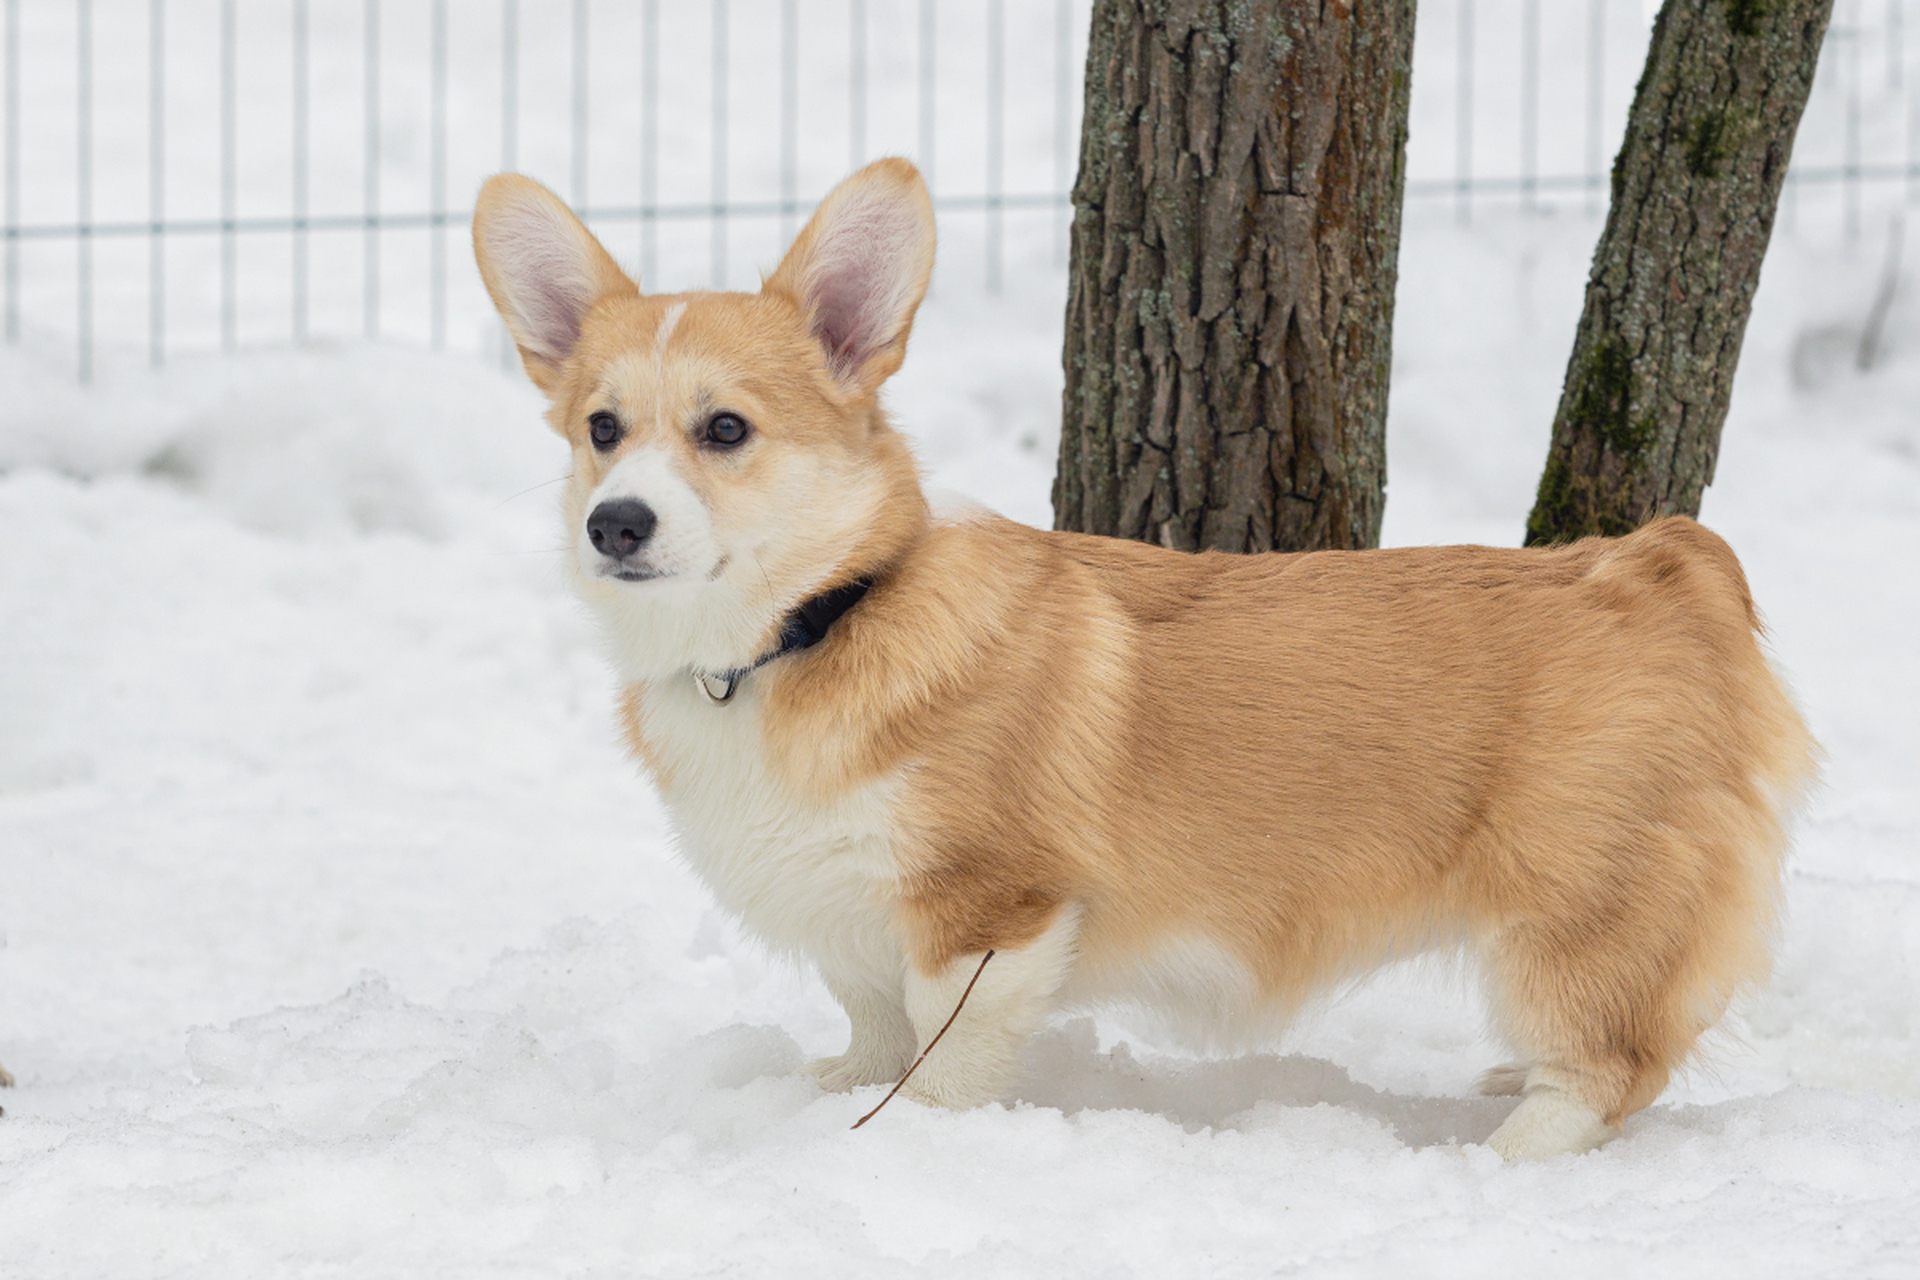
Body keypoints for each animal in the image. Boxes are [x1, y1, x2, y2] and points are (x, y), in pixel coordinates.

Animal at [472, 160, 1820, 1159]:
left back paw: (1500, 1153)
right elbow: (870, 1024)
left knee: (1608, 1064)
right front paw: (830, 1093)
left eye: (725, 429)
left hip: (1571, 904)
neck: (813, 623)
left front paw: (905, 1141)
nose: (615, 524)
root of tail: (1662, 561)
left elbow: (941, 1050)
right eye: (602, 429)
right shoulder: (851, 919)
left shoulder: (989, 913)